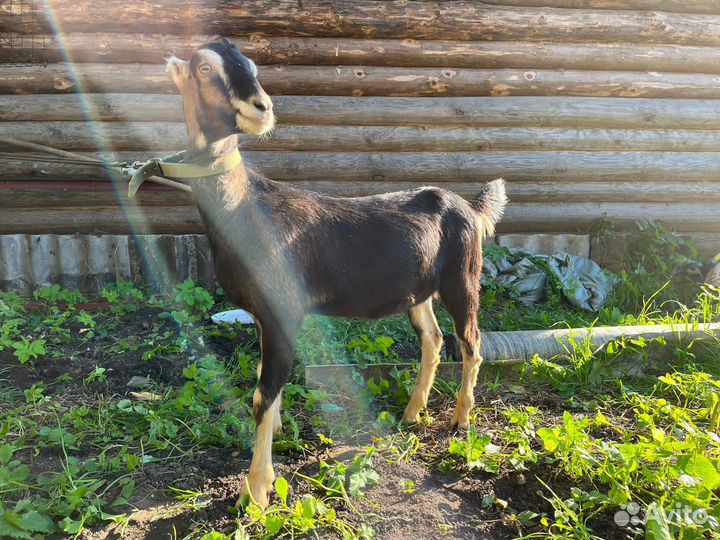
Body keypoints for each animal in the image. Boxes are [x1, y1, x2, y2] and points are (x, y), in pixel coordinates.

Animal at [164, 39, 507, 508]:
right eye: (203, 68)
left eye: (252, 66)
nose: (261, 107)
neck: (244, 207)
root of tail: (472, 208)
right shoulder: (263, 316)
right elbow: (266, 387)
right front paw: (272, 451)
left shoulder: (283, 311)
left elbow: (261, 395)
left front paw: (255, 493)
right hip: (418, 293)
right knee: (433, 339)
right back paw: (412, 412)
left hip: (463, 278)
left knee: (471, 341)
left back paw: (459, 420)